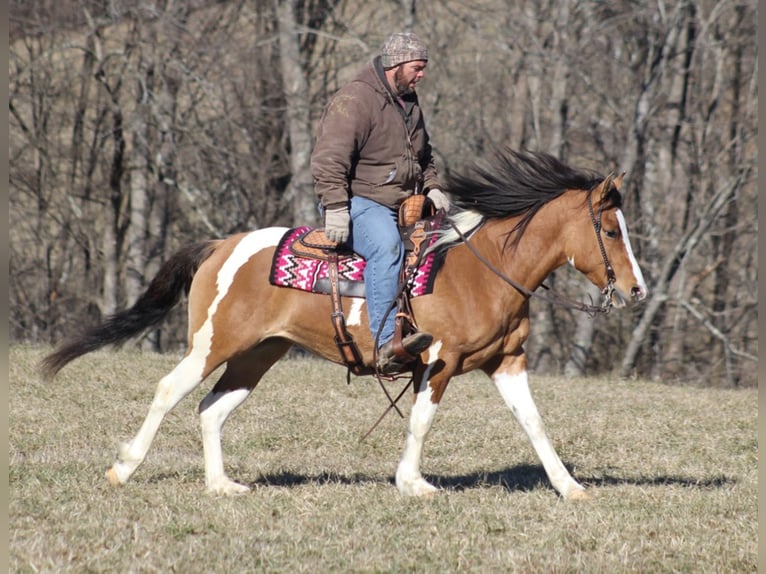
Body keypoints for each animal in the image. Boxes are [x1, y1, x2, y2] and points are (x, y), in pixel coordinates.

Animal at [43, 150, 648, 504]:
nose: (637, 289)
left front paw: (570, 487)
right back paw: (123, 470)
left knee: (211, 409)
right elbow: (421, 422)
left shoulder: (506, 362)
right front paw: (413, 482)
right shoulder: (439, 361)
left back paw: (222, 485)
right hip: (214, 345)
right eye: (611, 230)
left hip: (258, 354)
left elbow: (535, 423)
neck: (481, 268)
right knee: (170, 390)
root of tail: (220, 245)